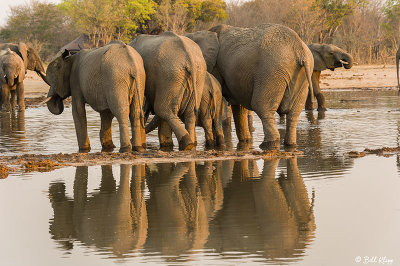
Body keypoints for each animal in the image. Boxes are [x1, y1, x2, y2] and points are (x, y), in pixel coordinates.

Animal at [186, 25, 314, 151]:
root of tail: (300, 49)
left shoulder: (215, 69)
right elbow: (239, 107)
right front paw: (245, 141)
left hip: (272, 72)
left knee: (261, 106)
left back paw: (267, 145)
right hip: (301, 76)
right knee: (294, 113)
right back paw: (289, 145)